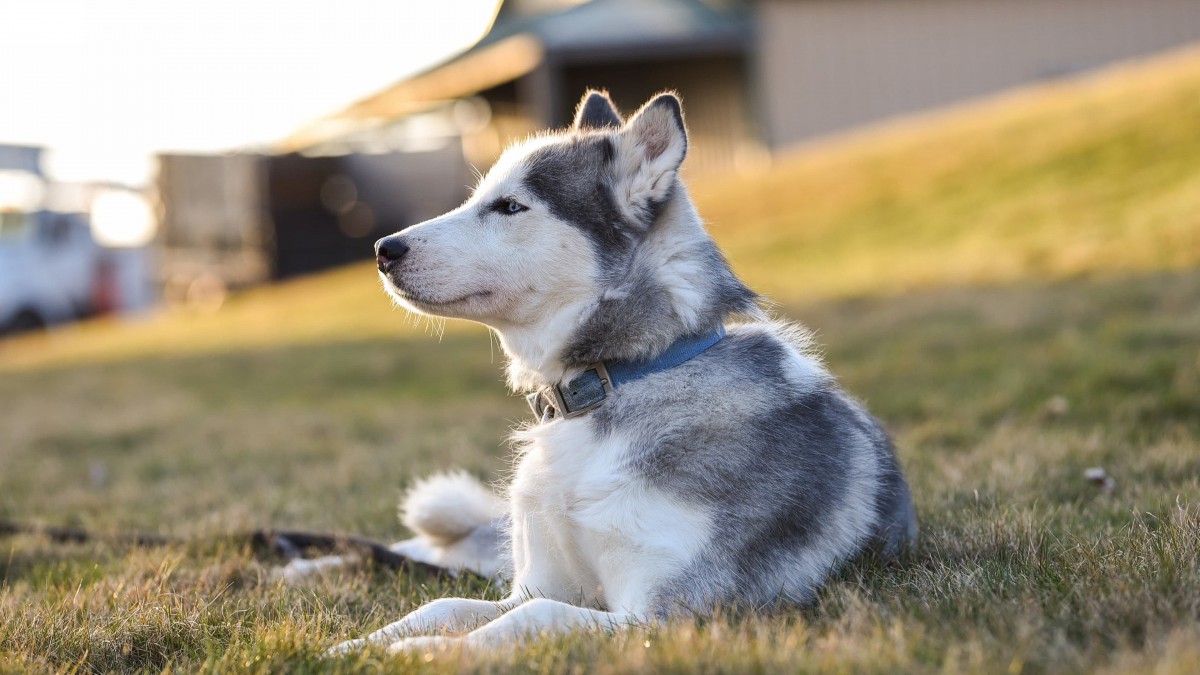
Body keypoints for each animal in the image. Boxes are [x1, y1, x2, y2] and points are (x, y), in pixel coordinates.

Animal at [331, 90, 916, 653]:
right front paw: (358, 646)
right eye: (478, 199)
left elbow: (532, 615)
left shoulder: (671, 612)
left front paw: (419, 652)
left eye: (510, 206)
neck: (613, 382)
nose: (384, 249)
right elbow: (445, 605)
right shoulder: (533, 581)